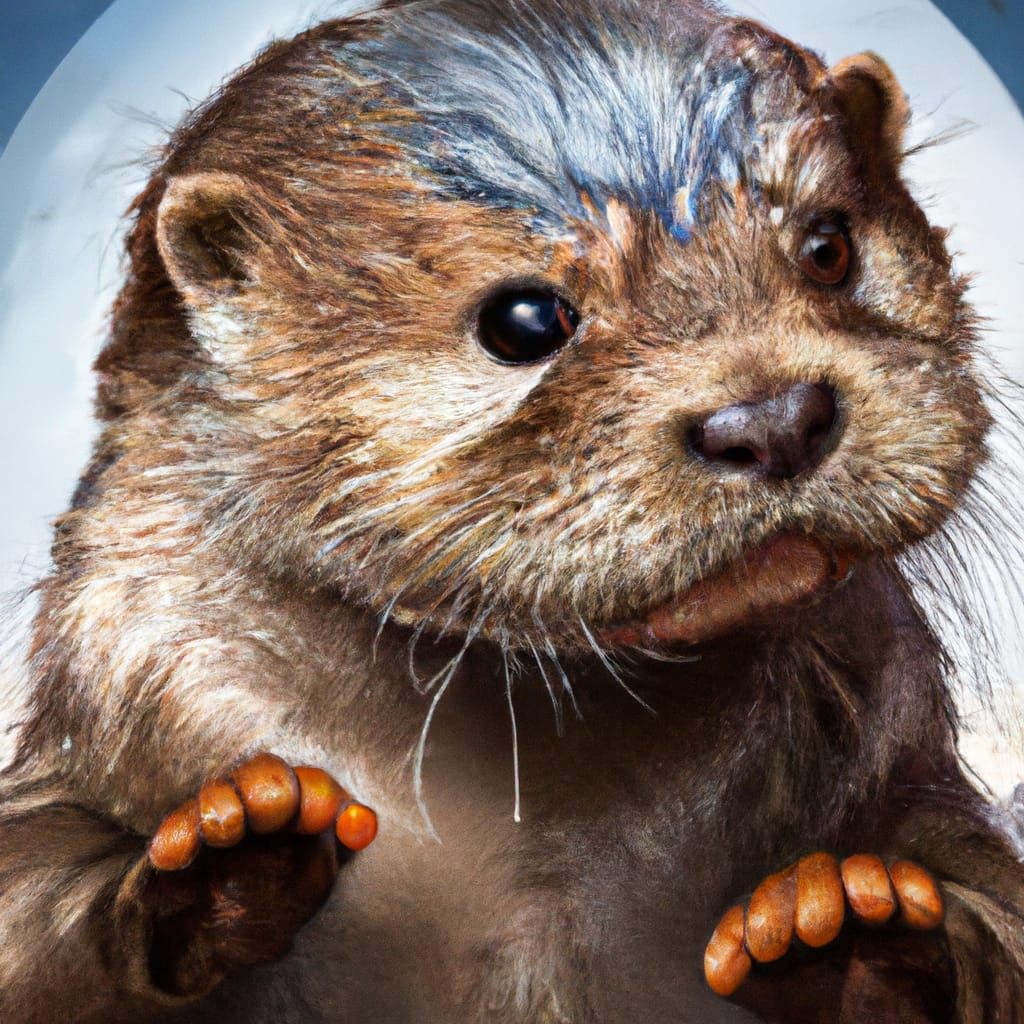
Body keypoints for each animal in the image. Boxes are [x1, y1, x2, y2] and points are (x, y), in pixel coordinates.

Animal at [1, 0, 1023, 1020]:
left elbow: (990, 903)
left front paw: (854, 925)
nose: (771, 419)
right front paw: (225, 854)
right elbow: (32, 907)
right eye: (525, 321)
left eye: (829, 248)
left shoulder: (905, 768)